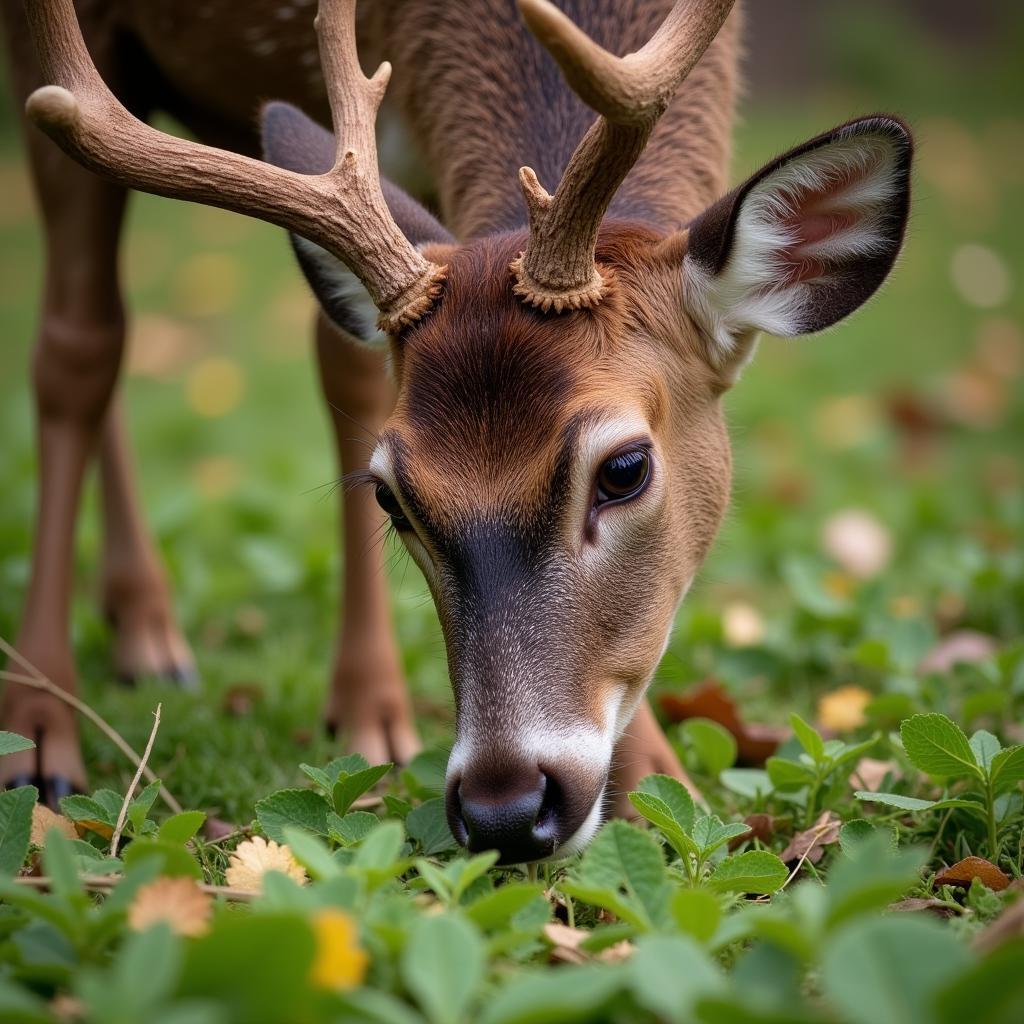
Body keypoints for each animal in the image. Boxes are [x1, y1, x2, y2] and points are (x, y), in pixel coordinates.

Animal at [2, 0, 913, 864]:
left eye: (625, 468)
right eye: (391, 498)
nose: (505, 809)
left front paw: (659, 779)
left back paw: (158, 637)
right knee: (84, 339)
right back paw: (46, 730)